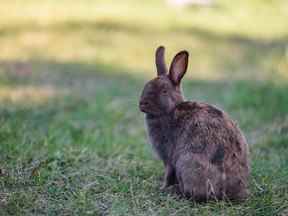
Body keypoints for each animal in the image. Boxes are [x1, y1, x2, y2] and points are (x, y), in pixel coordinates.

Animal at [140, 46, 250, 202]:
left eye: (164, 91)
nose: (142, 104)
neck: (171, 110)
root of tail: (231, 191)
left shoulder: (169, 159)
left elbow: (168, 173)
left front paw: (162, 188)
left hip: (187, 162)